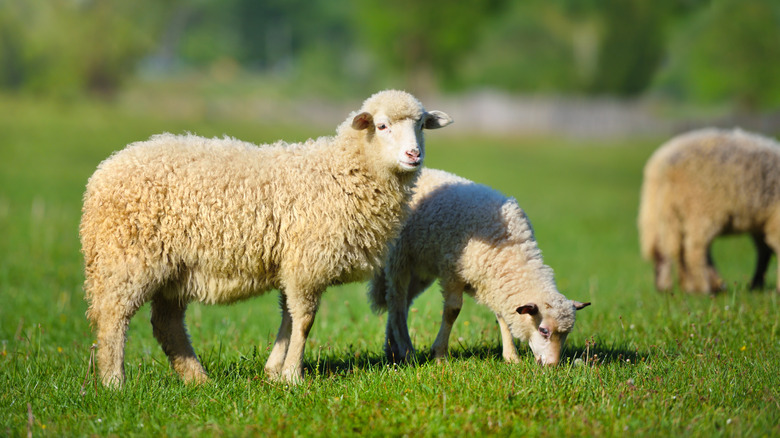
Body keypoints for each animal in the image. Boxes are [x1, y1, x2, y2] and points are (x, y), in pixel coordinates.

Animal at [80, 90, 454, 386]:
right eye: (383, 126)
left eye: (421, 125)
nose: (413, 155)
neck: (342, 172)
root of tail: (102, 173)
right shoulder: (306, 262)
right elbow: (304, 320)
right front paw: (293, 376)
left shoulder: (293, 262)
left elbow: (288, 315)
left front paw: (274, 370)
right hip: (127, 258)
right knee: (113, 318)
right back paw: (115, 382)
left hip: (175, 268)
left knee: (166, 324)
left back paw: (197, 379)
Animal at [368, 168, 588, 366]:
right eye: (544, 330)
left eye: (566, 334)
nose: (552, 366)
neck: (510, 249)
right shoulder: (452, 273)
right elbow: (452, 311)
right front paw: (439, 354)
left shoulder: (493, 282)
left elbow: (502, 316)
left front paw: (511, 357)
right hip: (400, 258)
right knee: (396, 302)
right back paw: (406, 351)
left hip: (420, 271)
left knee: (402, 303)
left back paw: (392, 349)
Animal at [636, 126, 780, 294]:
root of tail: (662, 163)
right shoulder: (774, 219)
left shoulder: (763, 223)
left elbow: (765, 251)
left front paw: (757, 285)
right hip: (700, 207)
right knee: (694, 250)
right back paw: (702, 287)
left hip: (656, 210)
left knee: (665, 250)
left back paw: (677, 286)